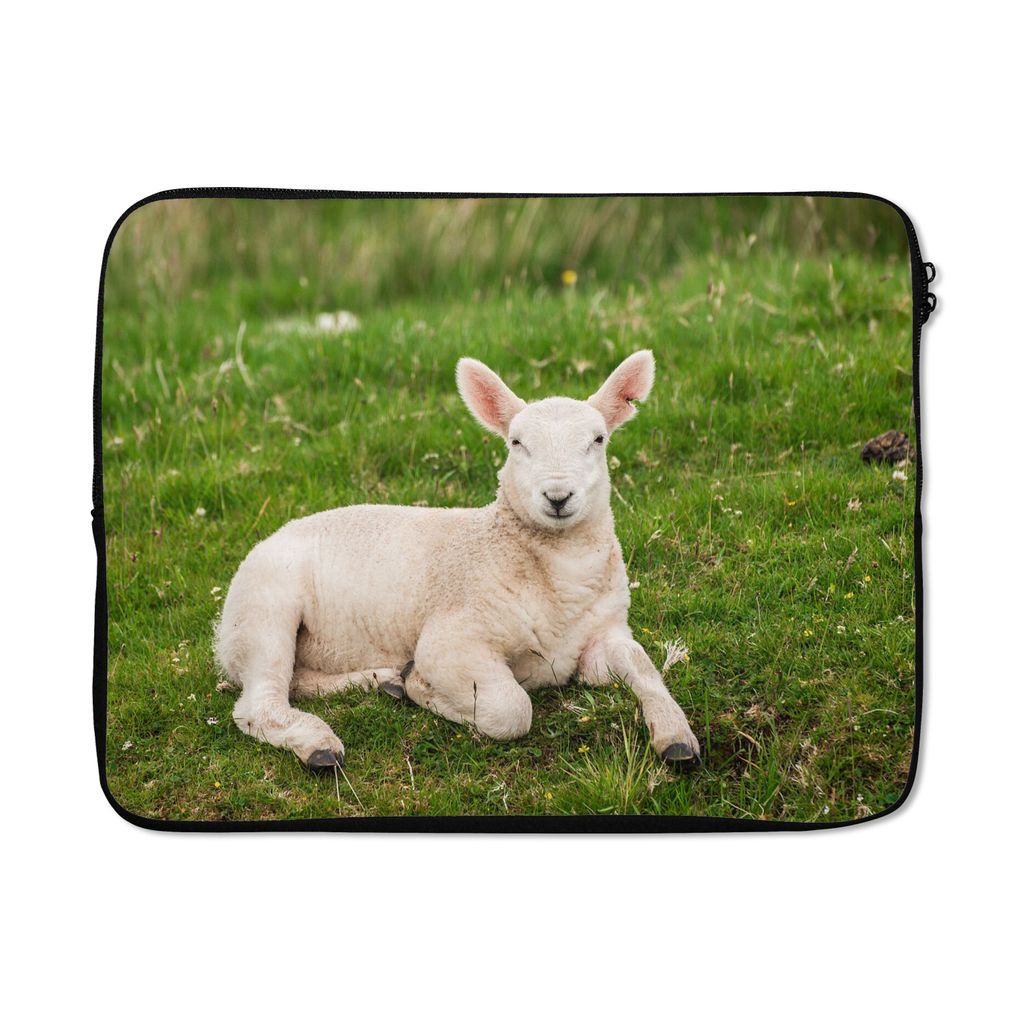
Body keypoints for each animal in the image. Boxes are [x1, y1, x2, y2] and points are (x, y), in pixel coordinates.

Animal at [215, 350, 701, 772]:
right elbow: (511, 709)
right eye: (516, 442)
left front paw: (677, 737)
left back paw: (382, 680)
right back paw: (319, 745)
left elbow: (643, 668)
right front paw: (421, 688)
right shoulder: (452, 639)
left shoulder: (606, 633)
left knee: (297, 681)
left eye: (598, 440)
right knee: (260, 702)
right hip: (262, 610)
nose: (558, 496)